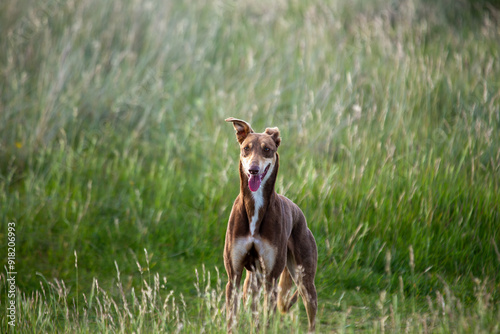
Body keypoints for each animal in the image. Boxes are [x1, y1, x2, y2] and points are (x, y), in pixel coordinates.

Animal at [225, 117, 318, 332]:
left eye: (267, 149)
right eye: (246, 149)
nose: (253, 169)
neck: (255, 207)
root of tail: (299, 212)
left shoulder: (271, 280)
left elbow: (267, 321)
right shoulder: (233, 277)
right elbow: (232, 320)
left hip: (305, 281)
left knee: (311, 316)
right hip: (251, 284)